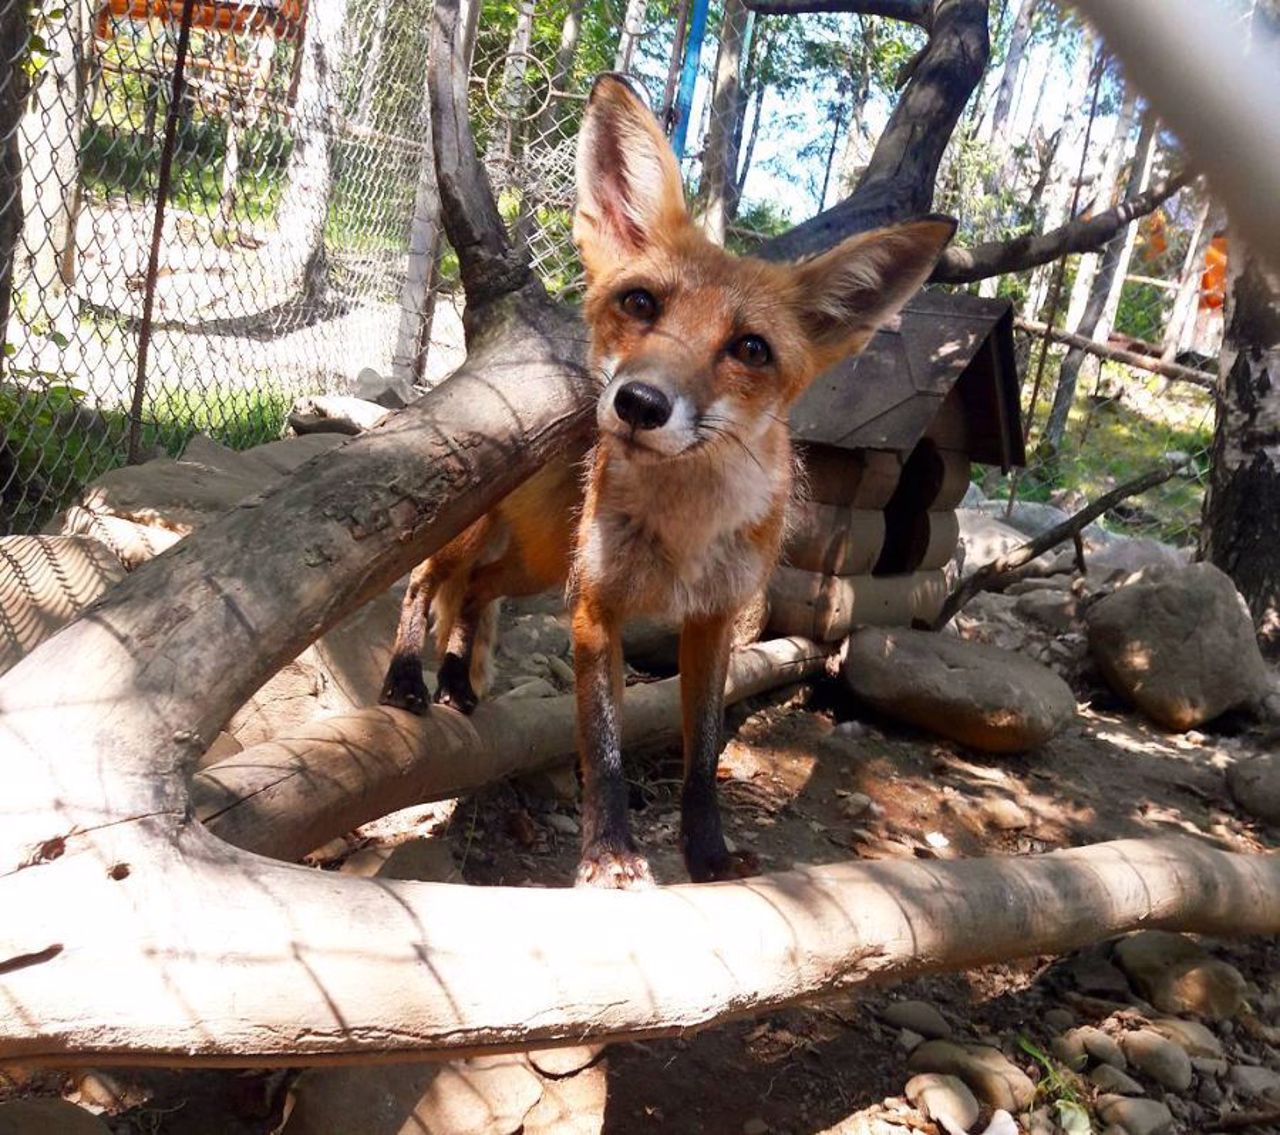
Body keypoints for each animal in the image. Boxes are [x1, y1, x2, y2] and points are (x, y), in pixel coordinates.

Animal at [373, 73, 957, 885]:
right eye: (641, 303)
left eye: (751, 348)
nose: (640, 403)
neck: (682, 528)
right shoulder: (597, 610)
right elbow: (605, 749)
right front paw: (610, 855)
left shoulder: (713, 622)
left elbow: (703, 758)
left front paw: (709, 856)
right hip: (502, 543)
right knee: (428, 582)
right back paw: (407, 678)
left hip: (540, 561)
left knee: (478, 593)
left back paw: (458, 681)